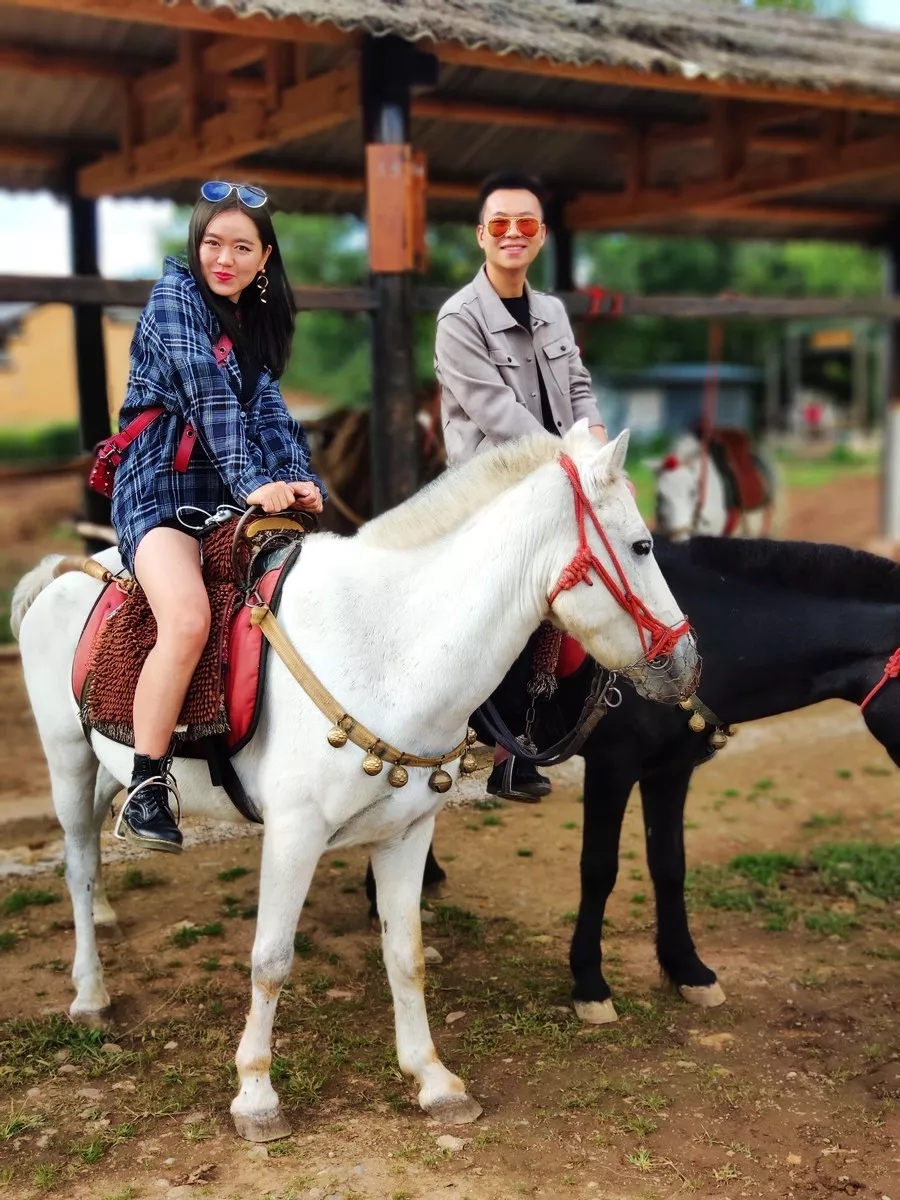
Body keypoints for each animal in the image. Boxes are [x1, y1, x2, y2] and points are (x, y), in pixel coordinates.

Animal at [15, 424, 705, 1142]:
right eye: (642, 545)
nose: (689, 664)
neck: (388, 645)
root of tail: (63, 571)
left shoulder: (407, 834)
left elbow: (406, 955)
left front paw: (433, 1079)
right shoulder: (293, 834)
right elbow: (271, 959)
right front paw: (256, 1094)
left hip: (105, 770)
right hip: (69, 764)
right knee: (78, 867)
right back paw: (91, 993)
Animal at [369, 540, 900, 1017]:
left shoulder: (672, 771)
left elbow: (669, 865)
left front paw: (689, 969)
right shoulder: (612, 767)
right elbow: (599, 869)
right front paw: (589, 982)